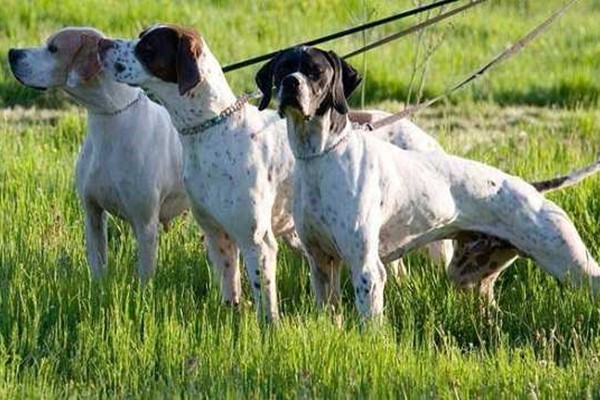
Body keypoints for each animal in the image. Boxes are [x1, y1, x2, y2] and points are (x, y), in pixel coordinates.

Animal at [8, 28, 189, 282]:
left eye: (53, 49)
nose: (12, 53)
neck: (109, 117)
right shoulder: (92, 213)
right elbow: (97, 267)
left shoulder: (145, 224)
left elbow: (144, 277)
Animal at [97, 24, 454, 318]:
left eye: (147, 46)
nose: (102, 44)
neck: (214, 130)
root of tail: (422, 135)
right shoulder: (217, 237)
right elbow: (231, 295)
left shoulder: (258, 242)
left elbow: (265, 306)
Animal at [256, 44, 600, 318]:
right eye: (283, 68)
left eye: (316, 72)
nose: (290, 83)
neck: (320, 157)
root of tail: (532, 188)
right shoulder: (321, 263)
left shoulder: (367, 268)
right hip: (468, 276)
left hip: (575, 266)